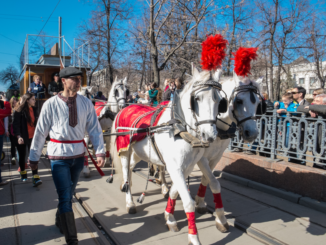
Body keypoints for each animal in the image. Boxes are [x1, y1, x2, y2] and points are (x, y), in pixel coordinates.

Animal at [111, 67, 225, 245]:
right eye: (196, 99)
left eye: (220, 100)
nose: (210, 135)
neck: (180, 130)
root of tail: (123, 109)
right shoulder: (175, 167)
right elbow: (188, 202)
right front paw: (194, 238)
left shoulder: (187, 166)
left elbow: (175, 192)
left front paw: (169, 217)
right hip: (125, 152)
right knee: (125, 171)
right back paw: (130, 202)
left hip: (137, 153)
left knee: (129, 169)